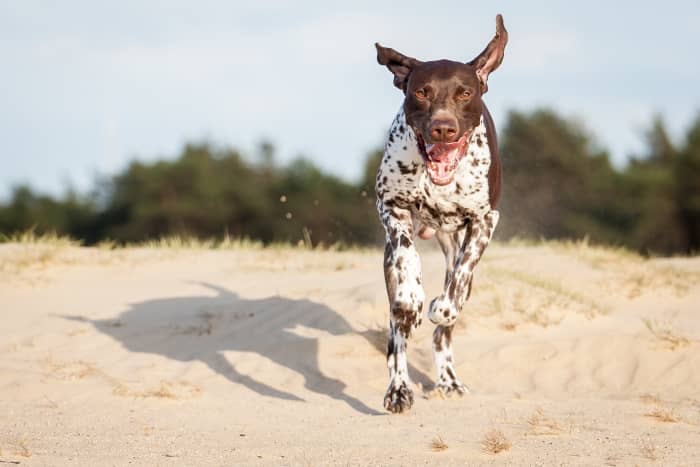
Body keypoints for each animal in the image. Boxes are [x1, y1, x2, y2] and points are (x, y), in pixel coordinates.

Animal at [374, 13, 506, 414]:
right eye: (422, 91)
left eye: (464, 93)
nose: (443, 128)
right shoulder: (390, 206)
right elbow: (407, 259)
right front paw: (413, 296)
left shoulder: (485, 221)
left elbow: (456, 287)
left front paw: (440, 306)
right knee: (397, 336)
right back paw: (398, 389)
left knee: (444, 329)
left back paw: (448, 379)